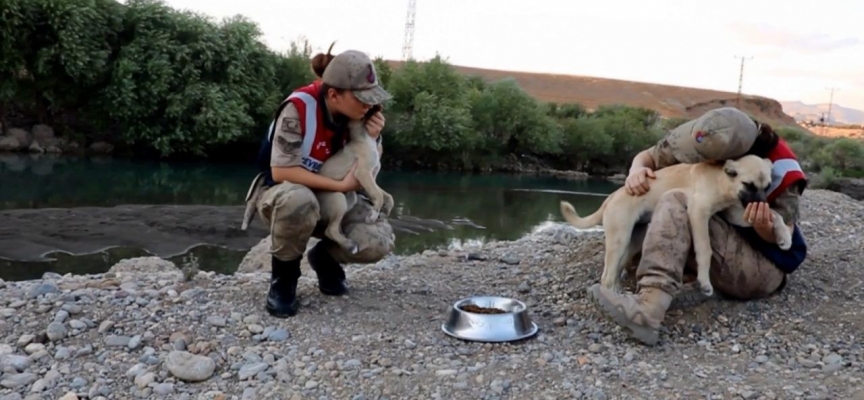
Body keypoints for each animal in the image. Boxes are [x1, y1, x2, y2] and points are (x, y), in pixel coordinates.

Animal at [318, 104, 394, 255]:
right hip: (338, 199)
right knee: (330, 230)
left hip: (350, 199)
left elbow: (387, 196)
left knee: (332, 227)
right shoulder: (363, 174)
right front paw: (373, 215)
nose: (381, 105)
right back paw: (349, 245)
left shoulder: (370, 180)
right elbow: (378, 195)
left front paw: (384, 211)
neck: (364, 139)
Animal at [560, 155, 788, 296]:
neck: (721, 180)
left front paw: (783, 237)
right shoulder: (698, 212)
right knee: (607, 276)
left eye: (768, 186)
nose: (762, 203)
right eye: (748, 185)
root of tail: (610, 197)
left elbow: (776, 215)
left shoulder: (737, 213)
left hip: (634, 239)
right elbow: (705, 249)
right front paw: (704, 282)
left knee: (616, 269)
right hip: (619, 238)